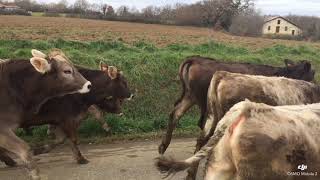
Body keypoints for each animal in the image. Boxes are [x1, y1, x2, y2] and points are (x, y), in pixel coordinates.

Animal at [0, 62, 132, 167]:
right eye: (124, 82)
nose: (131, 95)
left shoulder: (59, 120)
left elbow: (61, 139)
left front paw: (40, 150)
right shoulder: (67, 119)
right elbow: (72, 139)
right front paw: (81, 159)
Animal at [159, 56, 314, 155]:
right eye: (312, 75)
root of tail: (195, 59)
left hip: (190, 96)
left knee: (176, 114)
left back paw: (163, 146)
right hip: (204, 103)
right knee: (202, 124)